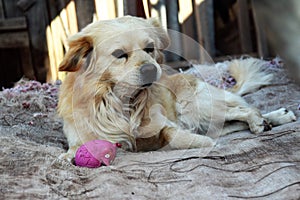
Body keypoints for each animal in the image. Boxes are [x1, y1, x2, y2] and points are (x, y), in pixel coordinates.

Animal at [57, 16, 296, 162]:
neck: (121, 103)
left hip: (194, 107)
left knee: (245, 110)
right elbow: (76, 146)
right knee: (235, 121)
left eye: (150, 48)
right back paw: (275, 118)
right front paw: (69, 155)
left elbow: (175, 135)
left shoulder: (166, 125)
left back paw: (262, 121)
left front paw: (202, 144)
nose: (150, 70)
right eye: (119, 54)